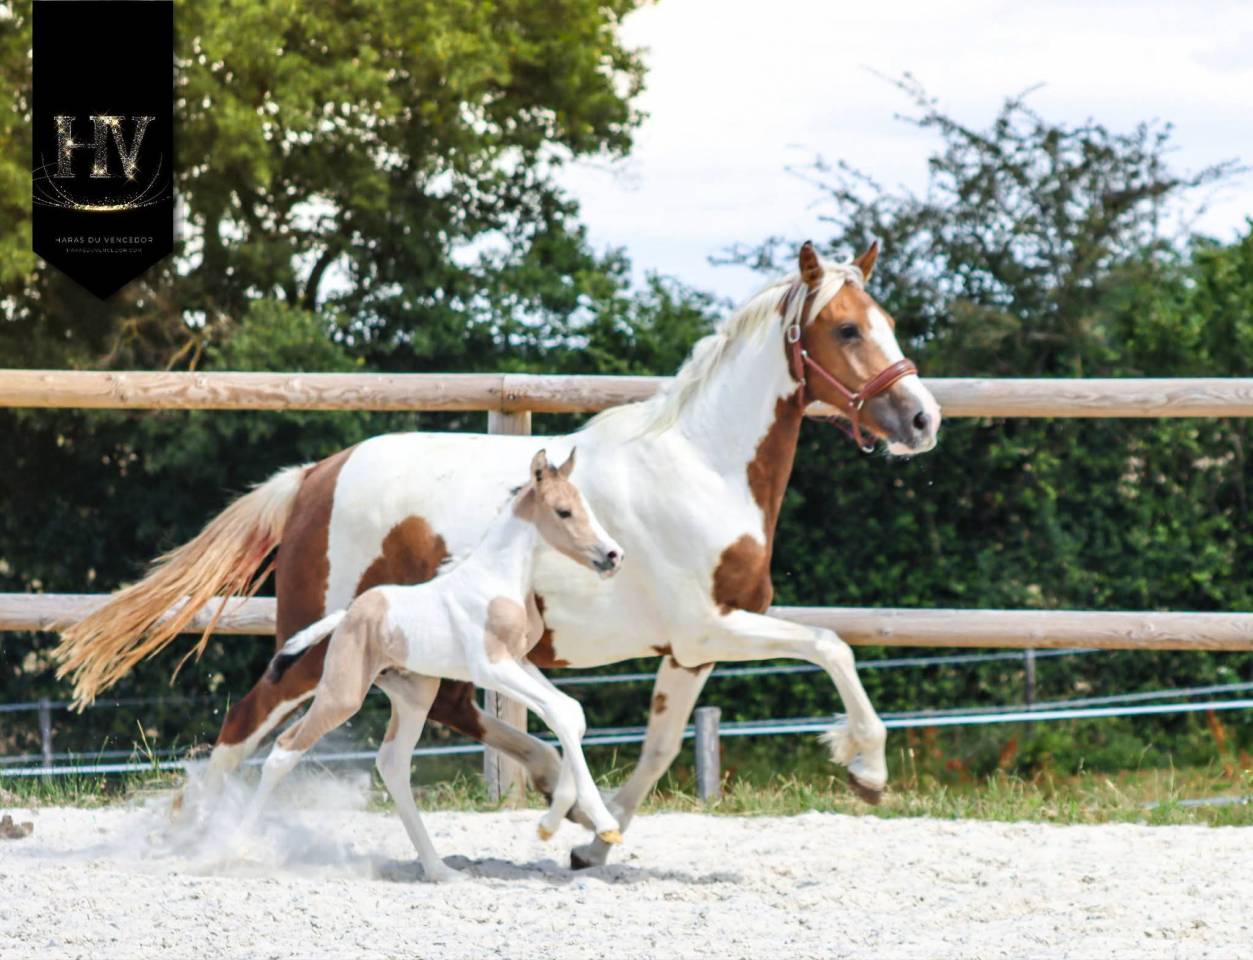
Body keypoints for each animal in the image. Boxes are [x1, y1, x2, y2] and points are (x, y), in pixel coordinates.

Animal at [241, 449, 624, 882]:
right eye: (563, 511)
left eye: (586, 506)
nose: (613, 555)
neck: (497, 579)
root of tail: (348, 616)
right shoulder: (491, 667)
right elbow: (559, 711)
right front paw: (604, 824)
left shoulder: (518, 661)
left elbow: (571, 712)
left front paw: (551, 822)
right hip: (344, 694)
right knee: (284, 750)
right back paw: (231, 849)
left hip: (415, 695)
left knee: (392, 763)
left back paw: (440, 870)